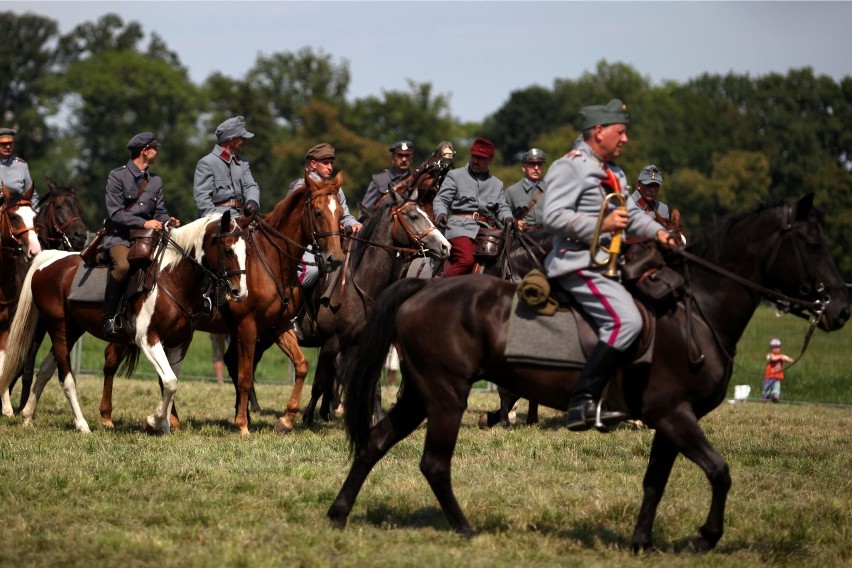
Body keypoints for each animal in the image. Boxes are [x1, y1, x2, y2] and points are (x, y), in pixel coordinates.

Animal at [0, 212, 246, 430]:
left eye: (247, 251)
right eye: (228, 249)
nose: (239, 292)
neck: (172, 278)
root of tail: (49, 261)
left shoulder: (180, 343)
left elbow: (171, 382)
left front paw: (164, 426)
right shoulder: (148, 339)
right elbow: (169, 381)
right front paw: (153, 421)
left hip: (73, 329)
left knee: (44, 369)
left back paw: (28, 416)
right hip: (58, 327)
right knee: (66, 378)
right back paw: (82, 425)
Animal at [326, 194, 844, 552]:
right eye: (813, 243)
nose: (841, 309)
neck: (695, 309)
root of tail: (419, 291)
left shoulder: (669, 420)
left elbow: (656, 481)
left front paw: (641, 543)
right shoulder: (676, 415)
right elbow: (719, 472)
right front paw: (704, 537)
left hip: (420, 394)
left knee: (375, 442)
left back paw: (339, 513)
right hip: (446, 396)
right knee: (434, 463)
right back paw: (466, 528)